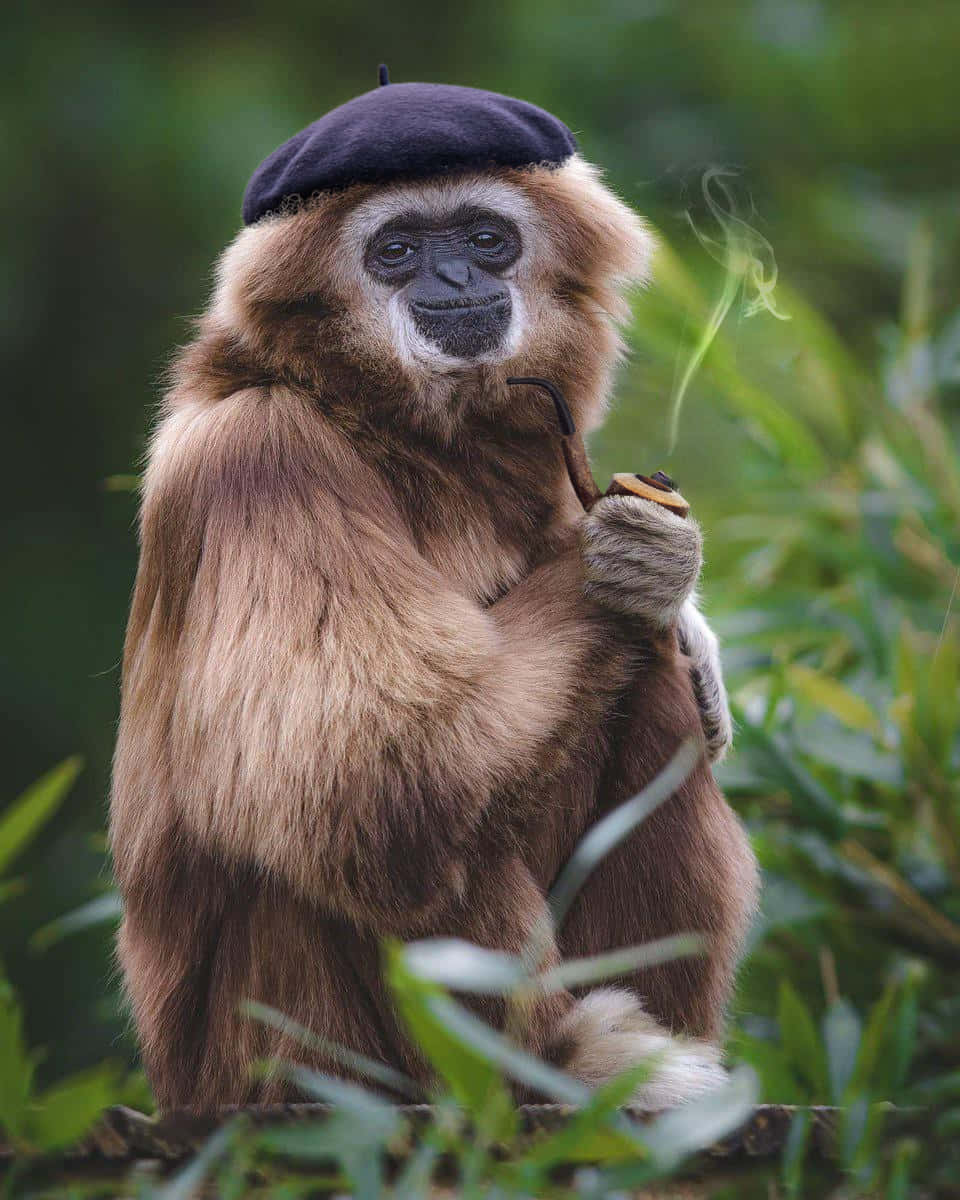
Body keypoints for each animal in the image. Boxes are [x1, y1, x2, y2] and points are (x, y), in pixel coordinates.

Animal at [110, 80, 757, 1114]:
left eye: (485, 238)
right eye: (397, 248)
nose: (450, 276)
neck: (388, 424)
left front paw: (682, 612)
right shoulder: (259, 458)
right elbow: (369, 765)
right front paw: (638, 560)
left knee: (640, 679)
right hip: (285, 1057)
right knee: (404, 808)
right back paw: (557, 1070)